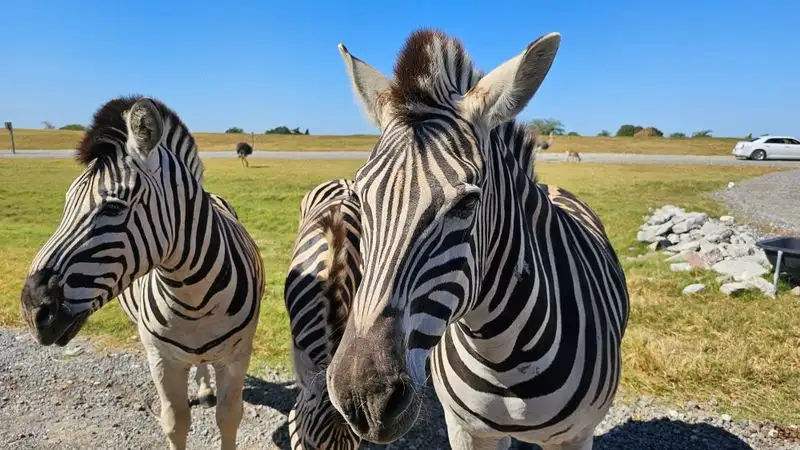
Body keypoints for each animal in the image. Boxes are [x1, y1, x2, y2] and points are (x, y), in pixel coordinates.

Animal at [19, 95, 265, 450]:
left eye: (113, 207)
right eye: (65, 204)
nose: (32, 310)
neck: (194, 298)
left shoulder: (237, 357)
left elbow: (229, 418)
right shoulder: (162, 359)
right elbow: (175, 423)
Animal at [324, 29, 629, 450]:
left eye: (467, 203)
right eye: (357, 197)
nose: (365, 398)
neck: (502, 357)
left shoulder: (577, 437)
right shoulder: (466, 429)